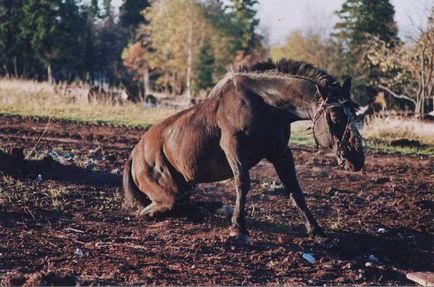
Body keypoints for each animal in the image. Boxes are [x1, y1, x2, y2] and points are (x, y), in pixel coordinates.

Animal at [122, 59, 362, 242]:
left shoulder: (280, 152)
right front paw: (238, 229)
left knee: (184, 203)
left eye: (354, 114)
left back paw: (217, 208)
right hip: (167, 194)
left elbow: (295, 190)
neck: (265, 104)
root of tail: (134, 155)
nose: (357, 158)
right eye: (335, 117)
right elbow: (242, 183)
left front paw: (317, 231)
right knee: (155, 209)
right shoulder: (233, 147)